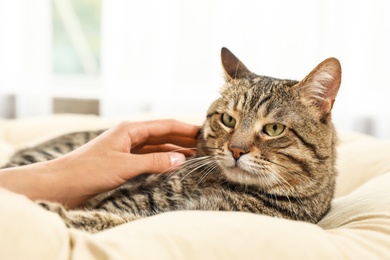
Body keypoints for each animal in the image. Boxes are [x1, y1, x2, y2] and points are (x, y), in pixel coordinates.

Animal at [1, 47, 340, 233]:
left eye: (273, 129)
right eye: (228, 120)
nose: (235, 149)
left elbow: (109, 221)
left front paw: (54, 213)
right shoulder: (138, 200)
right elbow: (109, 216)